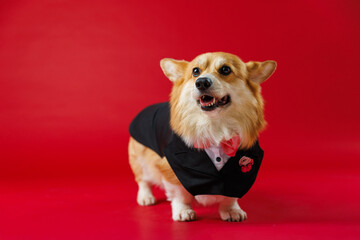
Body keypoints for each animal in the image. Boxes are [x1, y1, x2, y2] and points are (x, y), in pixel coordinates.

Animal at [129, 52, 276, 221]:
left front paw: (231, 210)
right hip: (140, 159)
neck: (215, 125)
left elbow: (230, 196)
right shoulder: (170, 167)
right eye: (195, 71)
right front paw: (183, 211)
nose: (201, 82)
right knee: (143, 180)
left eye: (226, 70)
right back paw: (146, 197)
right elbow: (179, 194)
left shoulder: (238, 174)